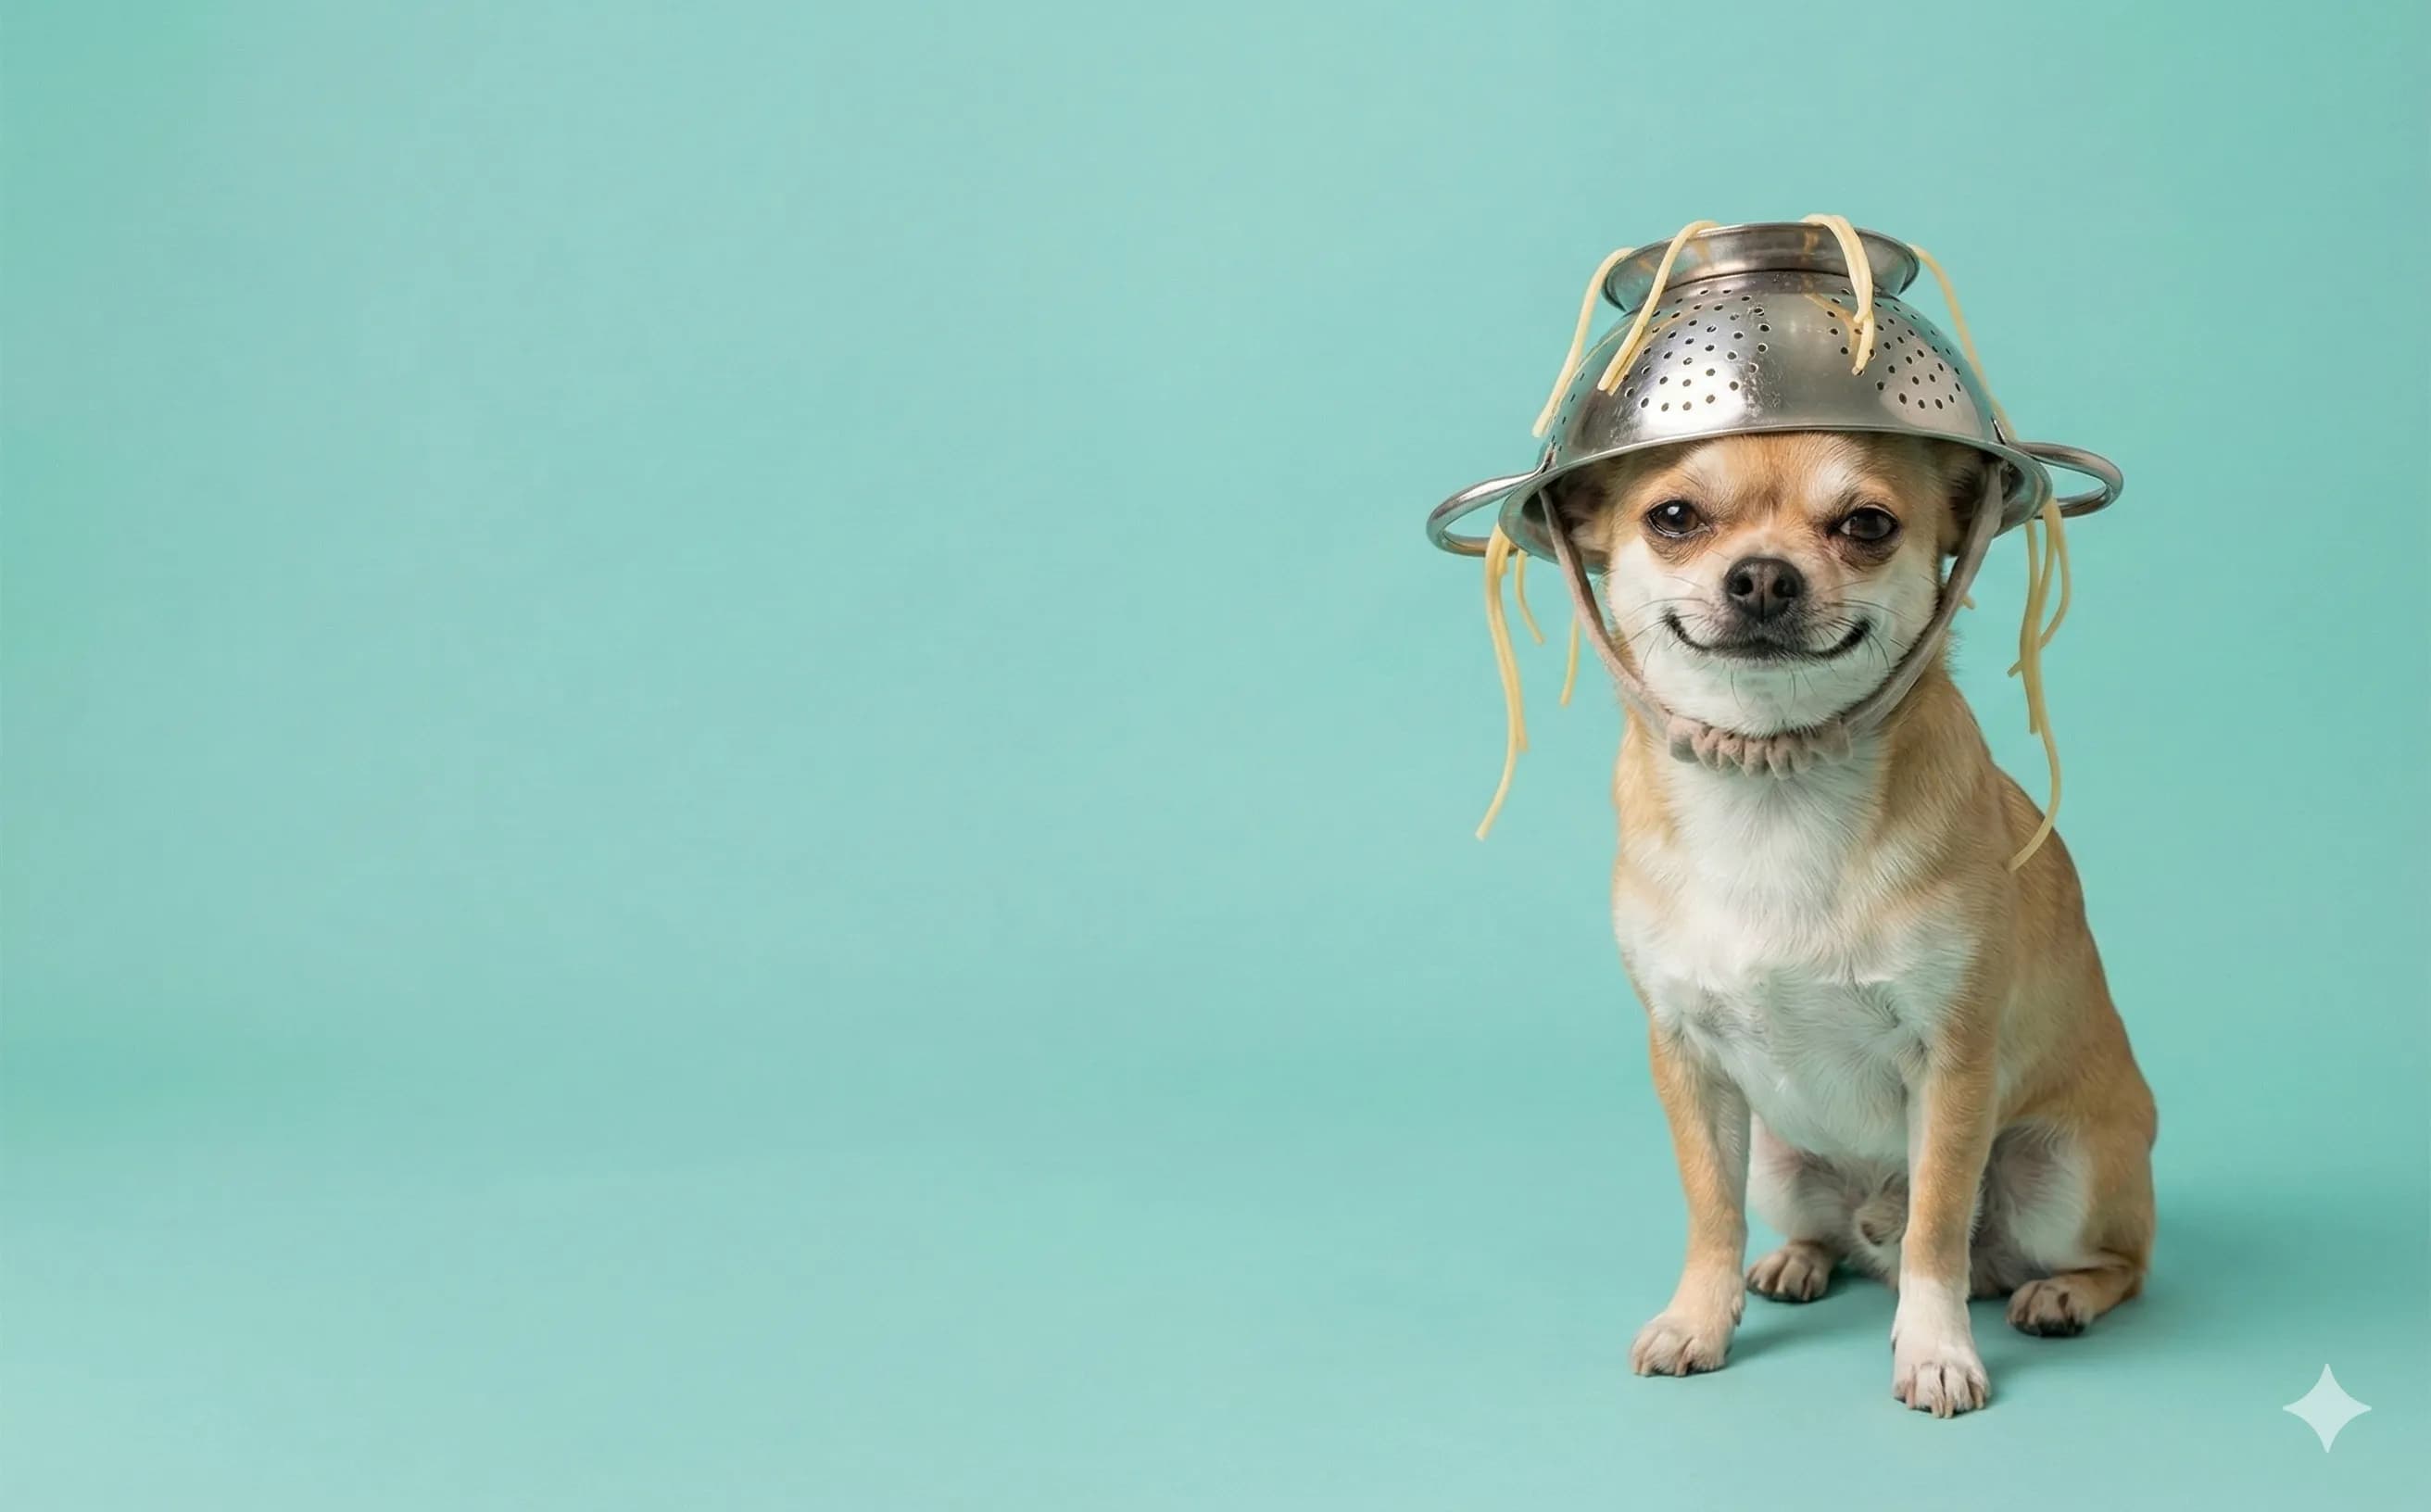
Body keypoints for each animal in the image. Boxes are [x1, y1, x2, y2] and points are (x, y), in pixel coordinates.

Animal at [1550, 431, 2156, 1417]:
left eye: (1867, 525)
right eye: (1673, 517)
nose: (1763, 576)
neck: (1773, 792)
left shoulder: (1953, 1068)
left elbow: (1937, 1229)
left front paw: (1936, 1352)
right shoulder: (1688, 1062)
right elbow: (1709, 1210)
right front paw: (1696, 1320)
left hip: (2059, 1171)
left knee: (2116, 1263)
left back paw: (2060, 1295)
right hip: (1779, 1160)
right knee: (1828, 1234)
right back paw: (1798, 1260)